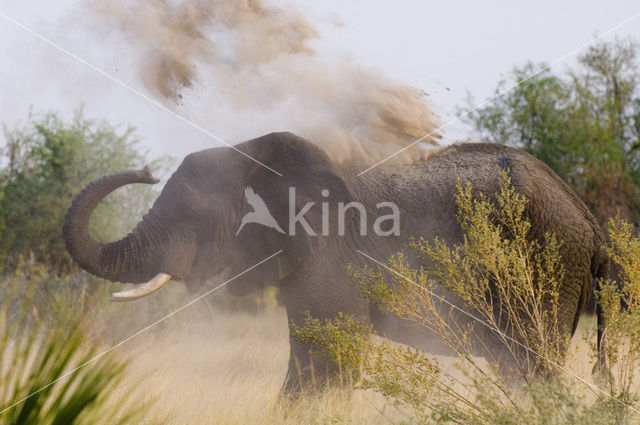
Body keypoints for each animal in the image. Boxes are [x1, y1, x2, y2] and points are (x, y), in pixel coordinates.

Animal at [62, 132, 608, 390]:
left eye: (193, 213)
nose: (145, 170)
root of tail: (586, 214)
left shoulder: (329, 258)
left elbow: (322, 363)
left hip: (547, 267)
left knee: (531, 366)